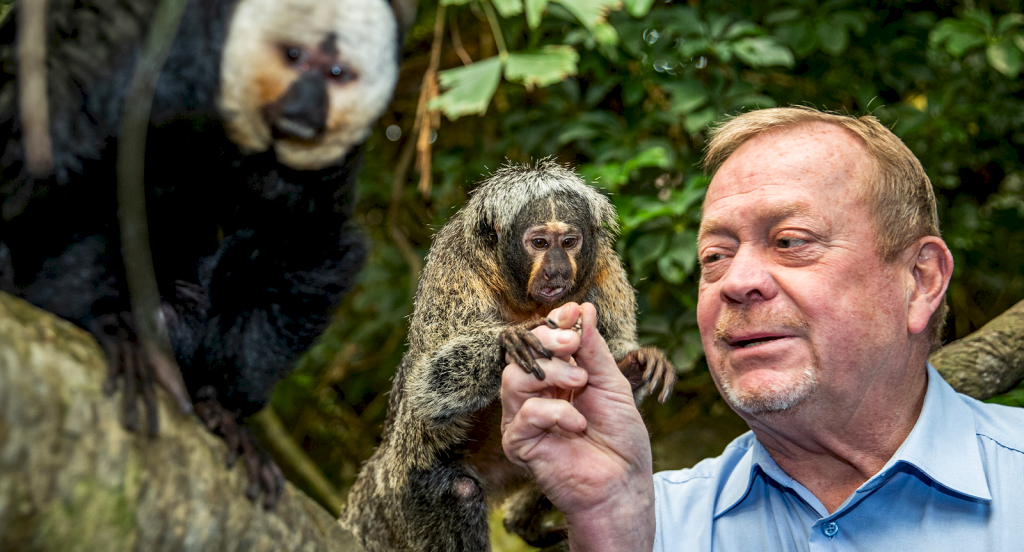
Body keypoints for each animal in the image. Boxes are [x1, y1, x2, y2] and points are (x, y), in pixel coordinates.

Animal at [0, 0, 417, 507]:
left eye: (337, 72)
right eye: (294, 56)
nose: (305, 107)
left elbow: (306, 248)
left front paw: (220, 404)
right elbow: (83, 162)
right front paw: (102, 321)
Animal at [344, 160, 675, 552]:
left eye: (569, 242)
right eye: (539, 243)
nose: (557, 269)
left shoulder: (605, 269)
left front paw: (634, 368)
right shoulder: (453, 265)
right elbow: (427, 384)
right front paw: (510, 342)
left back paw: (525, 527)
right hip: (405, 492)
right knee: (457, 490)